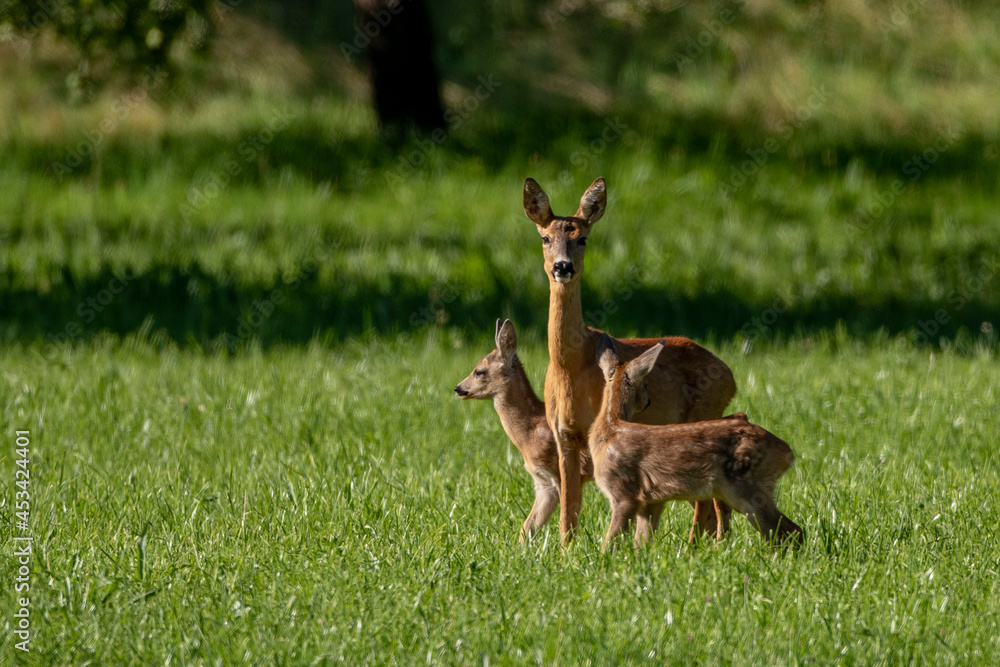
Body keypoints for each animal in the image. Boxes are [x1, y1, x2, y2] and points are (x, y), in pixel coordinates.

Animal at [454, 318, 655, 543]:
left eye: (479, 371)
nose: (458, 388)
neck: (530, 432)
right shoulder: (543, 482)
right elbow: (528, 527)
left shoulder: (557, 473)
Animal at [523, 176, 737, 546]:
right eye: (545, 237)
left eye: (582, 238)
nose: (562, 267)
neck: (572, 368)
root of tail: (730, 376)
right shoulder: (562, 433)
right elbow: (568, 510)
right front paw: (566, 552)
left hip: (703, 414)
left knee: (707, 505)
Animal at [590, 333, 804, 550]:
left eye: (647, 384)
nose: (648, 401)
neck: (610, 429)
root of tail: (787, 452)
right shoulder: (652, 501)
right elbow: (642, 542)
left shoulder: (625, 493)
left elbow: (611, 542)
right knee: (790, 531)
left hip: (747, 491)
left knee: (787, 531)